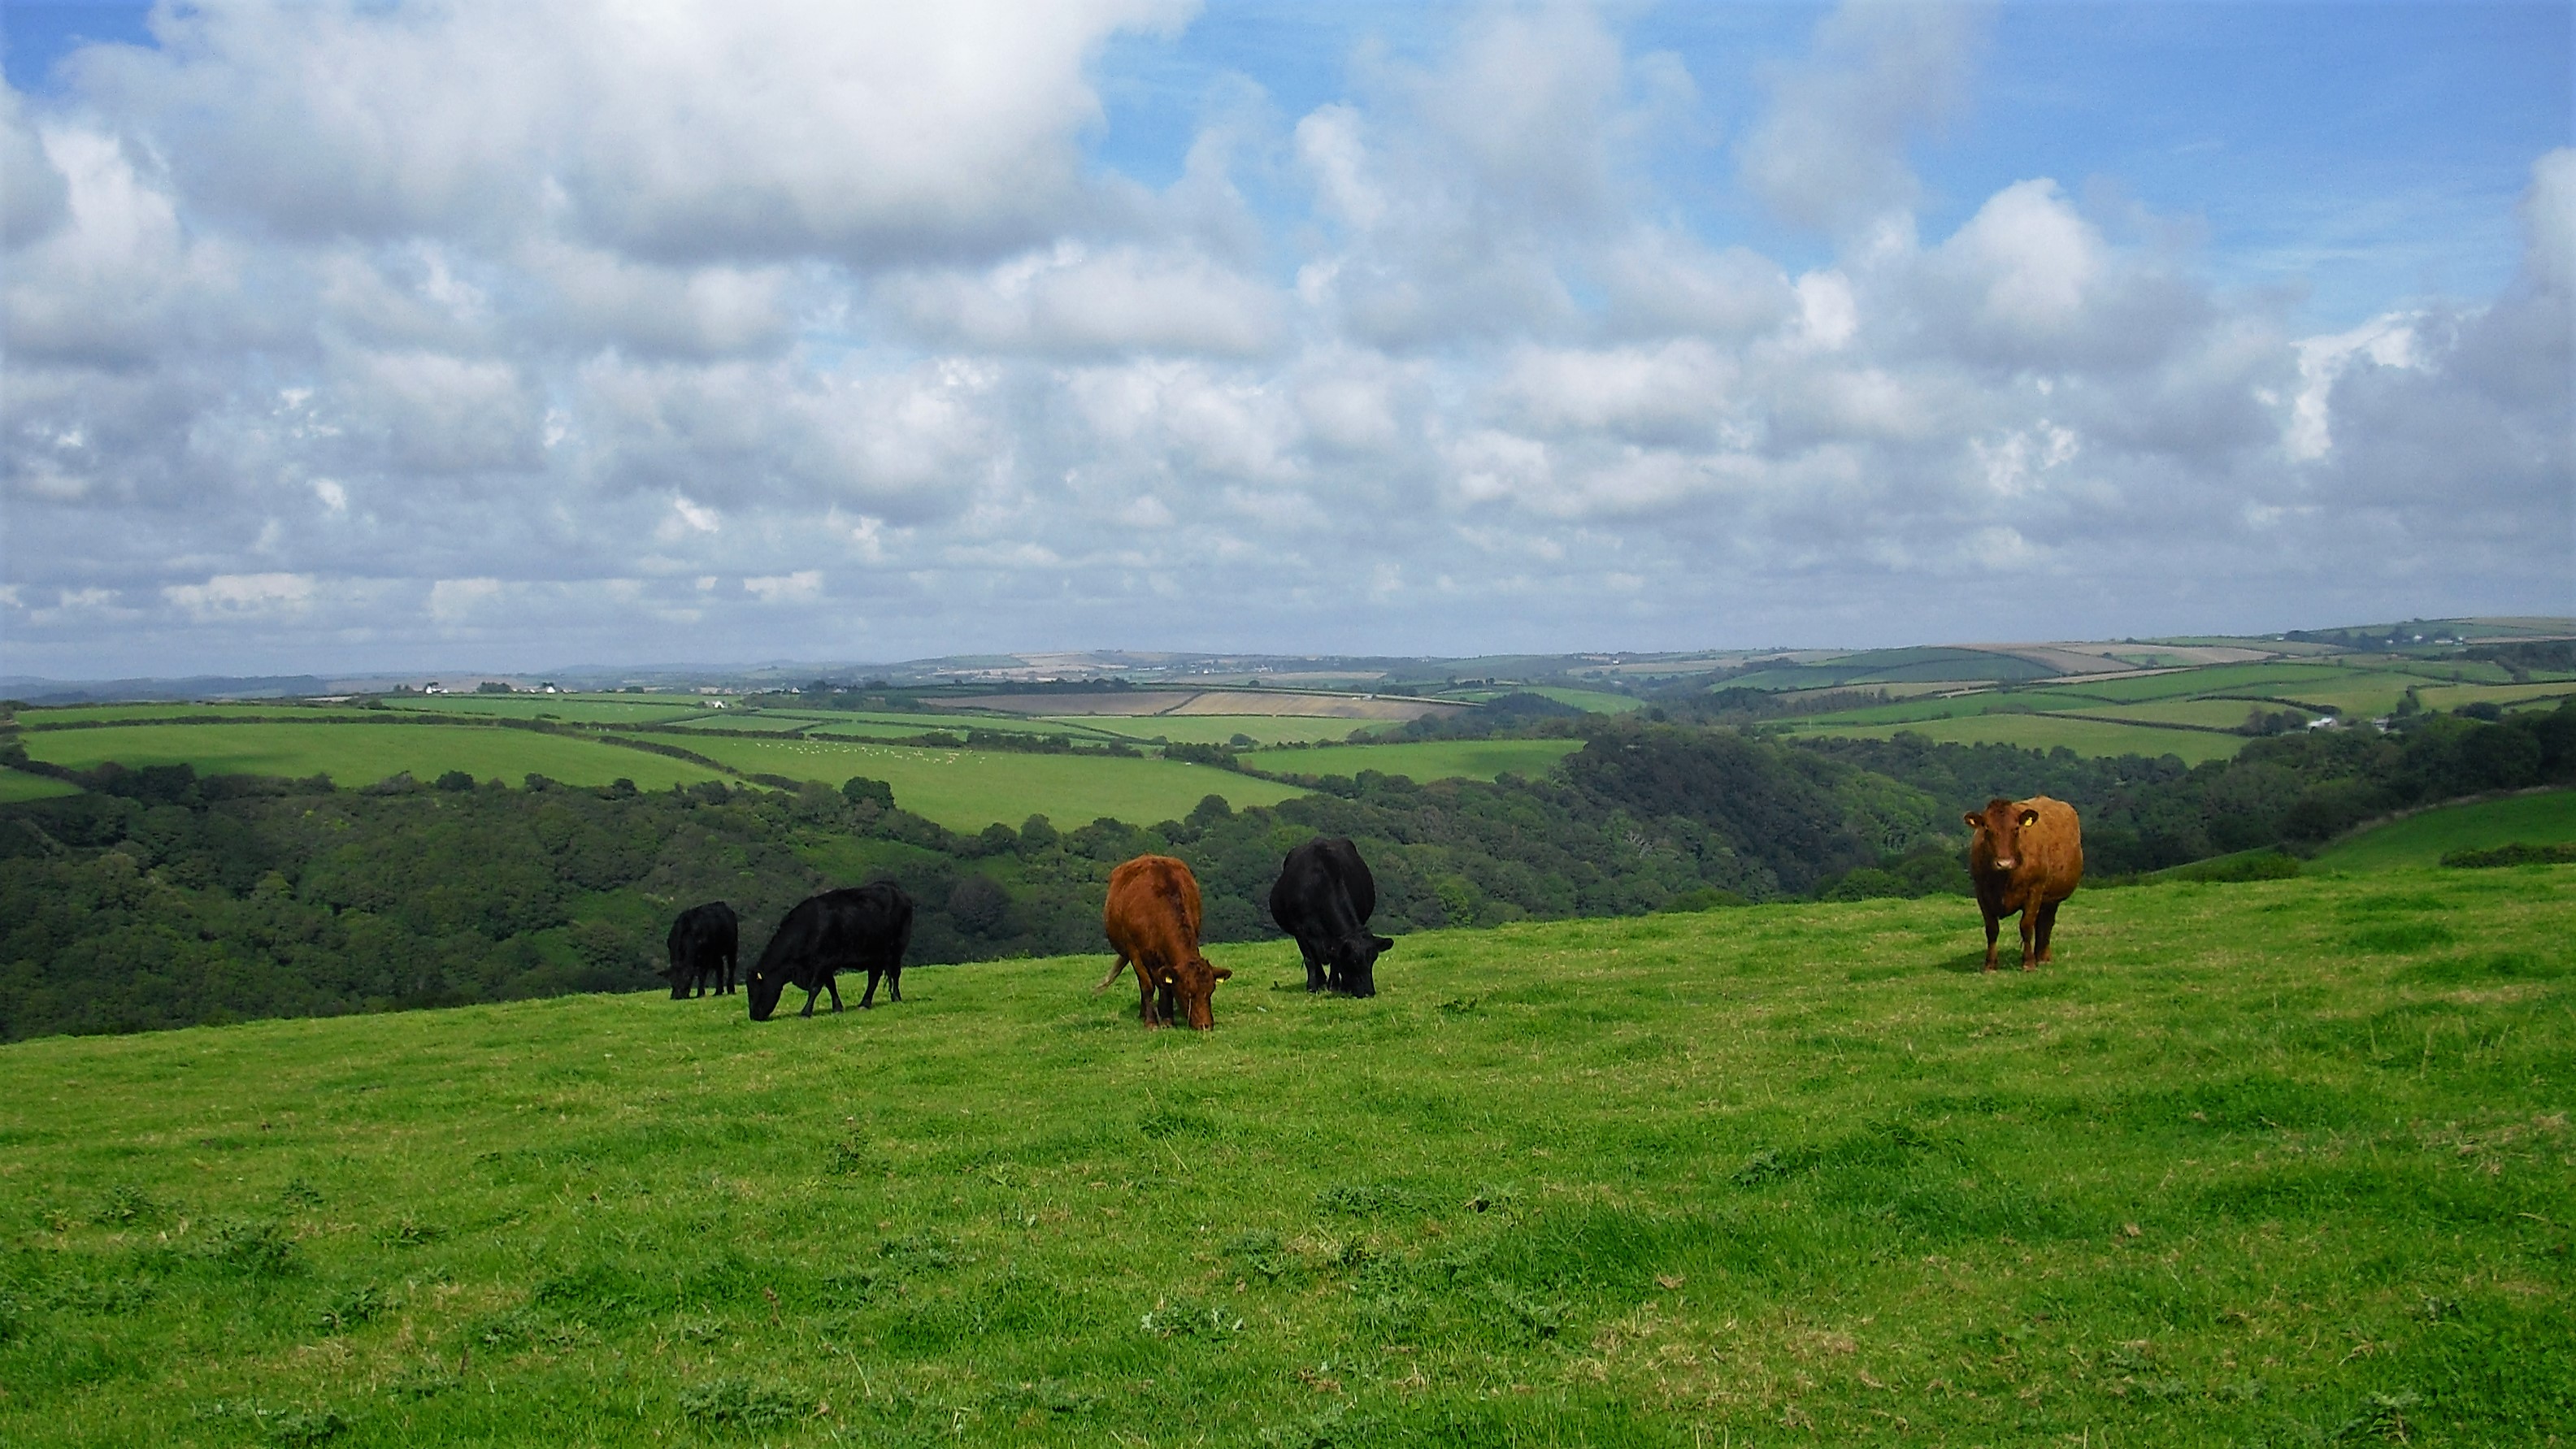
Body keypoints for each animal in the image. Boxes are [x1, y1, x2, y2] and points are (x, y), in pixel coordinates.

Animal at [747, 880, 917, 1024]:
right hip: (874, 954)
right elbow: (831, 985)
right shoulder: (826, 965)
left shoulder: (823, 962)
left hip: (896, 949)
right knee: (874, 978)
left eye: (754, 989)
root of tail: (896, 890)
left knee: (895, 974)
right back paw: (864, 1003)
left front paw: (805, 1013)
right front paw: (837, 1007)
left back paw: (896, 997)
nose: (754, 1016)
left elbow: (815, 988)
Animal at [1092, 849, 1231, 1029]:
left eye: (1211, 991)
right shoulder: (1135, 951)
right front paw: (1151, 1022)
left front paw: (1167, 1019)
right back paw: (1144, 1013)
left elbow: (1166, 987)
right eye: (1188, 992)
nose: (1206, 1025)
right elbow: (1147, 985)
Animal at [1262, 839, 1391, 998]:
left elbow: (1335, 961)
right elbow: (1310, 959)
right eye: (1353, 961)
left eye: (1373, 959)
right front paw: (1312, 987)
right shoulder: (1300, 931)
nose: (1369, 992)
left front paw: (1334, 985)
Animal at [1957, 792, 2081, 973]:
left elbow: (2026, 926)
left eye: (2016, 829)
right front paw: (1990, 965)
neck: (2004, 880)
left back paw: (2043, 957)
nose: (2004, 863)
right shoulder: (1981, 892)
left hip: (2052, 898)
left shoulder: (2035, 890)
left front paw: (2028, 963)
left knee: (2047, 924)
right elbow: (1992, 929)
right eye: (1987, 829)